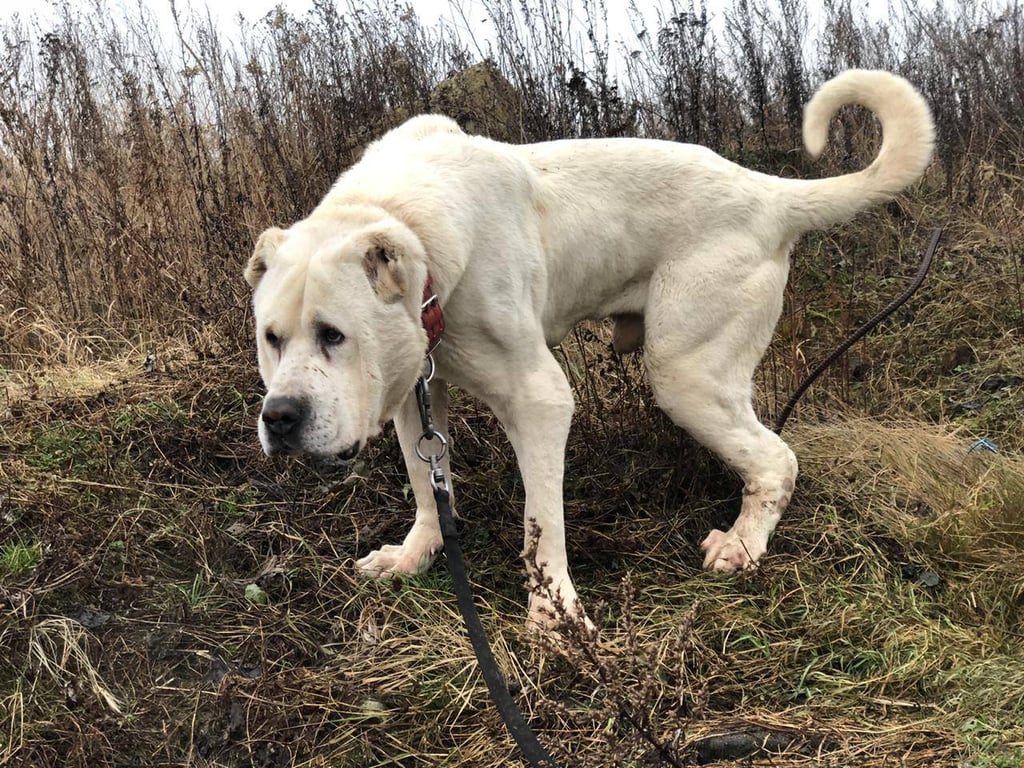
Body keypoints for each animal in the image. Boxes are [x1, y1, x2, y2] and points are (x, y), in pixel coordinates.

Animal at [243, 69, 933, 626]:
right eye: (271, 339)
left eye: (334, 334)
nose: (280, 419)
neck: (411, 231)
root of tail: (770, 193)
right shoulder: (414, 391)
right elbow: (426, 486)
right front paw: (417, 555)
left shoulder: (540, 402)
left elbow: (541, 523)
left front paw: (553, 618)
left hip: (685, 373)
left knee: (776, 460)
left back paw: (741, 544)